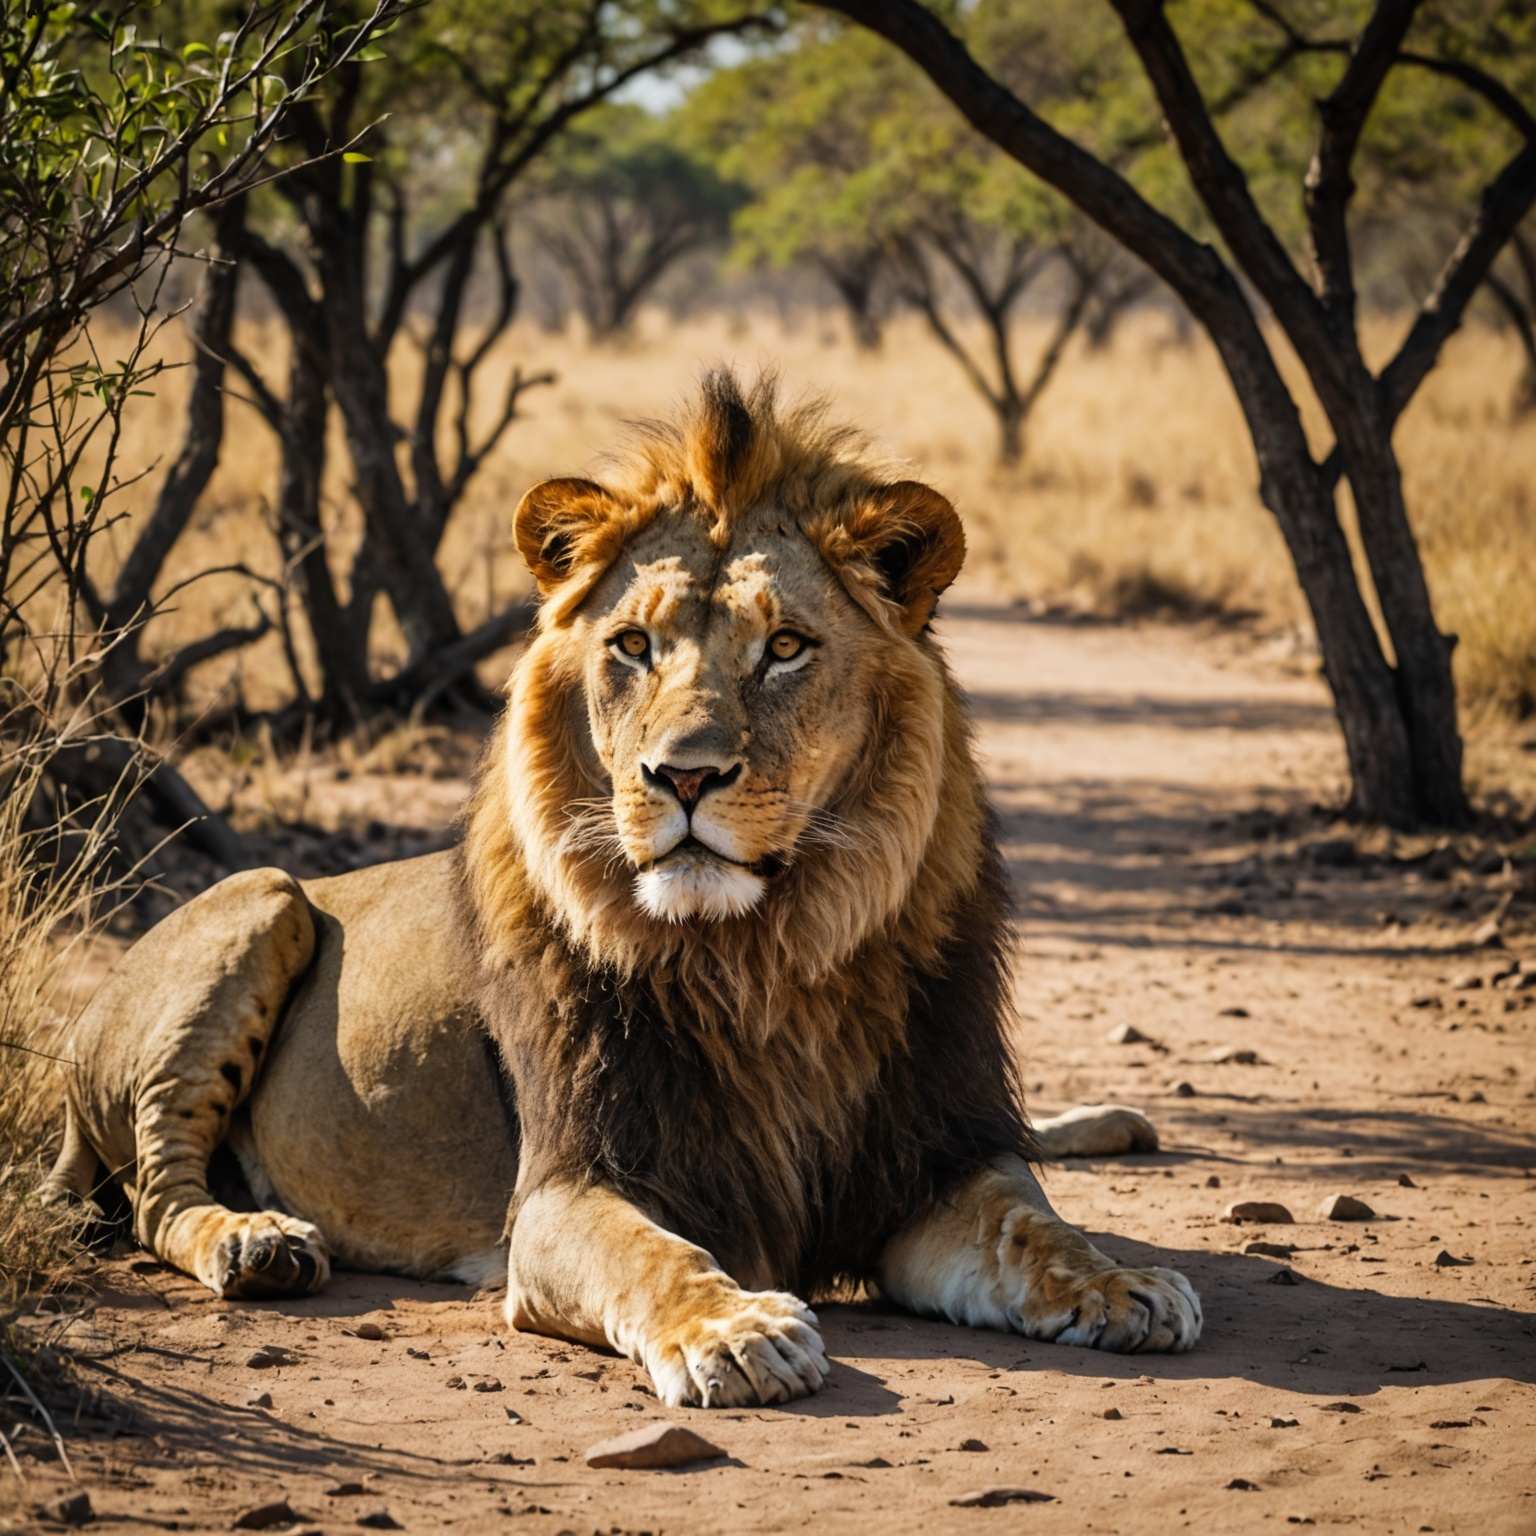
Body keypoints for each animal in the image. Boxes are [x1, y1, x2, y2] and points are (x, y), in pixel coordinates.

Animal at [44, 371, 1198, 1406]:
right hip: (263, 897)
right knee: (157, 1193)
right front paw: (735, 1330)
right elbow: (655, 1256)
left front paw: (1122, 1282)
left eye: (786, 647)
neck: (760, 959)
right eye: (633, 646)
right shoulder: (564, 1188)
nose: (683, 775)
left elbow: (1033, 1223)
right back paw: (258, 1240)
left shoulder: (931, 1159)